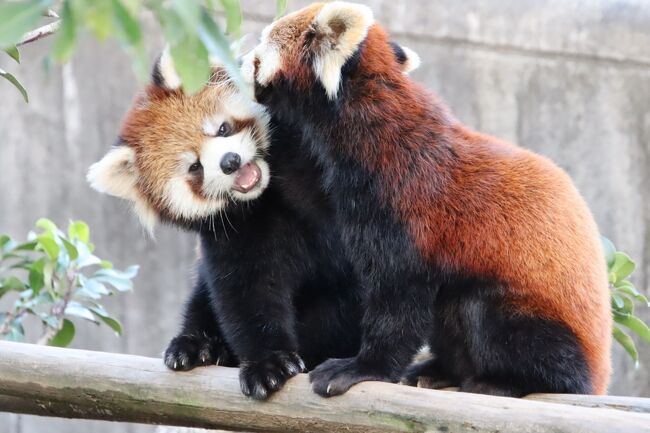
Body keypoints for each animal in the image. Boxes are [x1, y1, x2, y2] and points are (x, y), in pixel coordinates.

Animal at [240, 1, 612, 396]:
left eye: (262, 45)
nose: (241, 58)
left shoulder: (405, 201)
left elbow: (398, 299)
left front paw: (362, 368)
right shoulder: (336, 182)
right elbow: (307, 197)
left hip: (534, 320)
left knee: (487, 316)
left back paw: (501, 380)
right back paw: (439, 369)